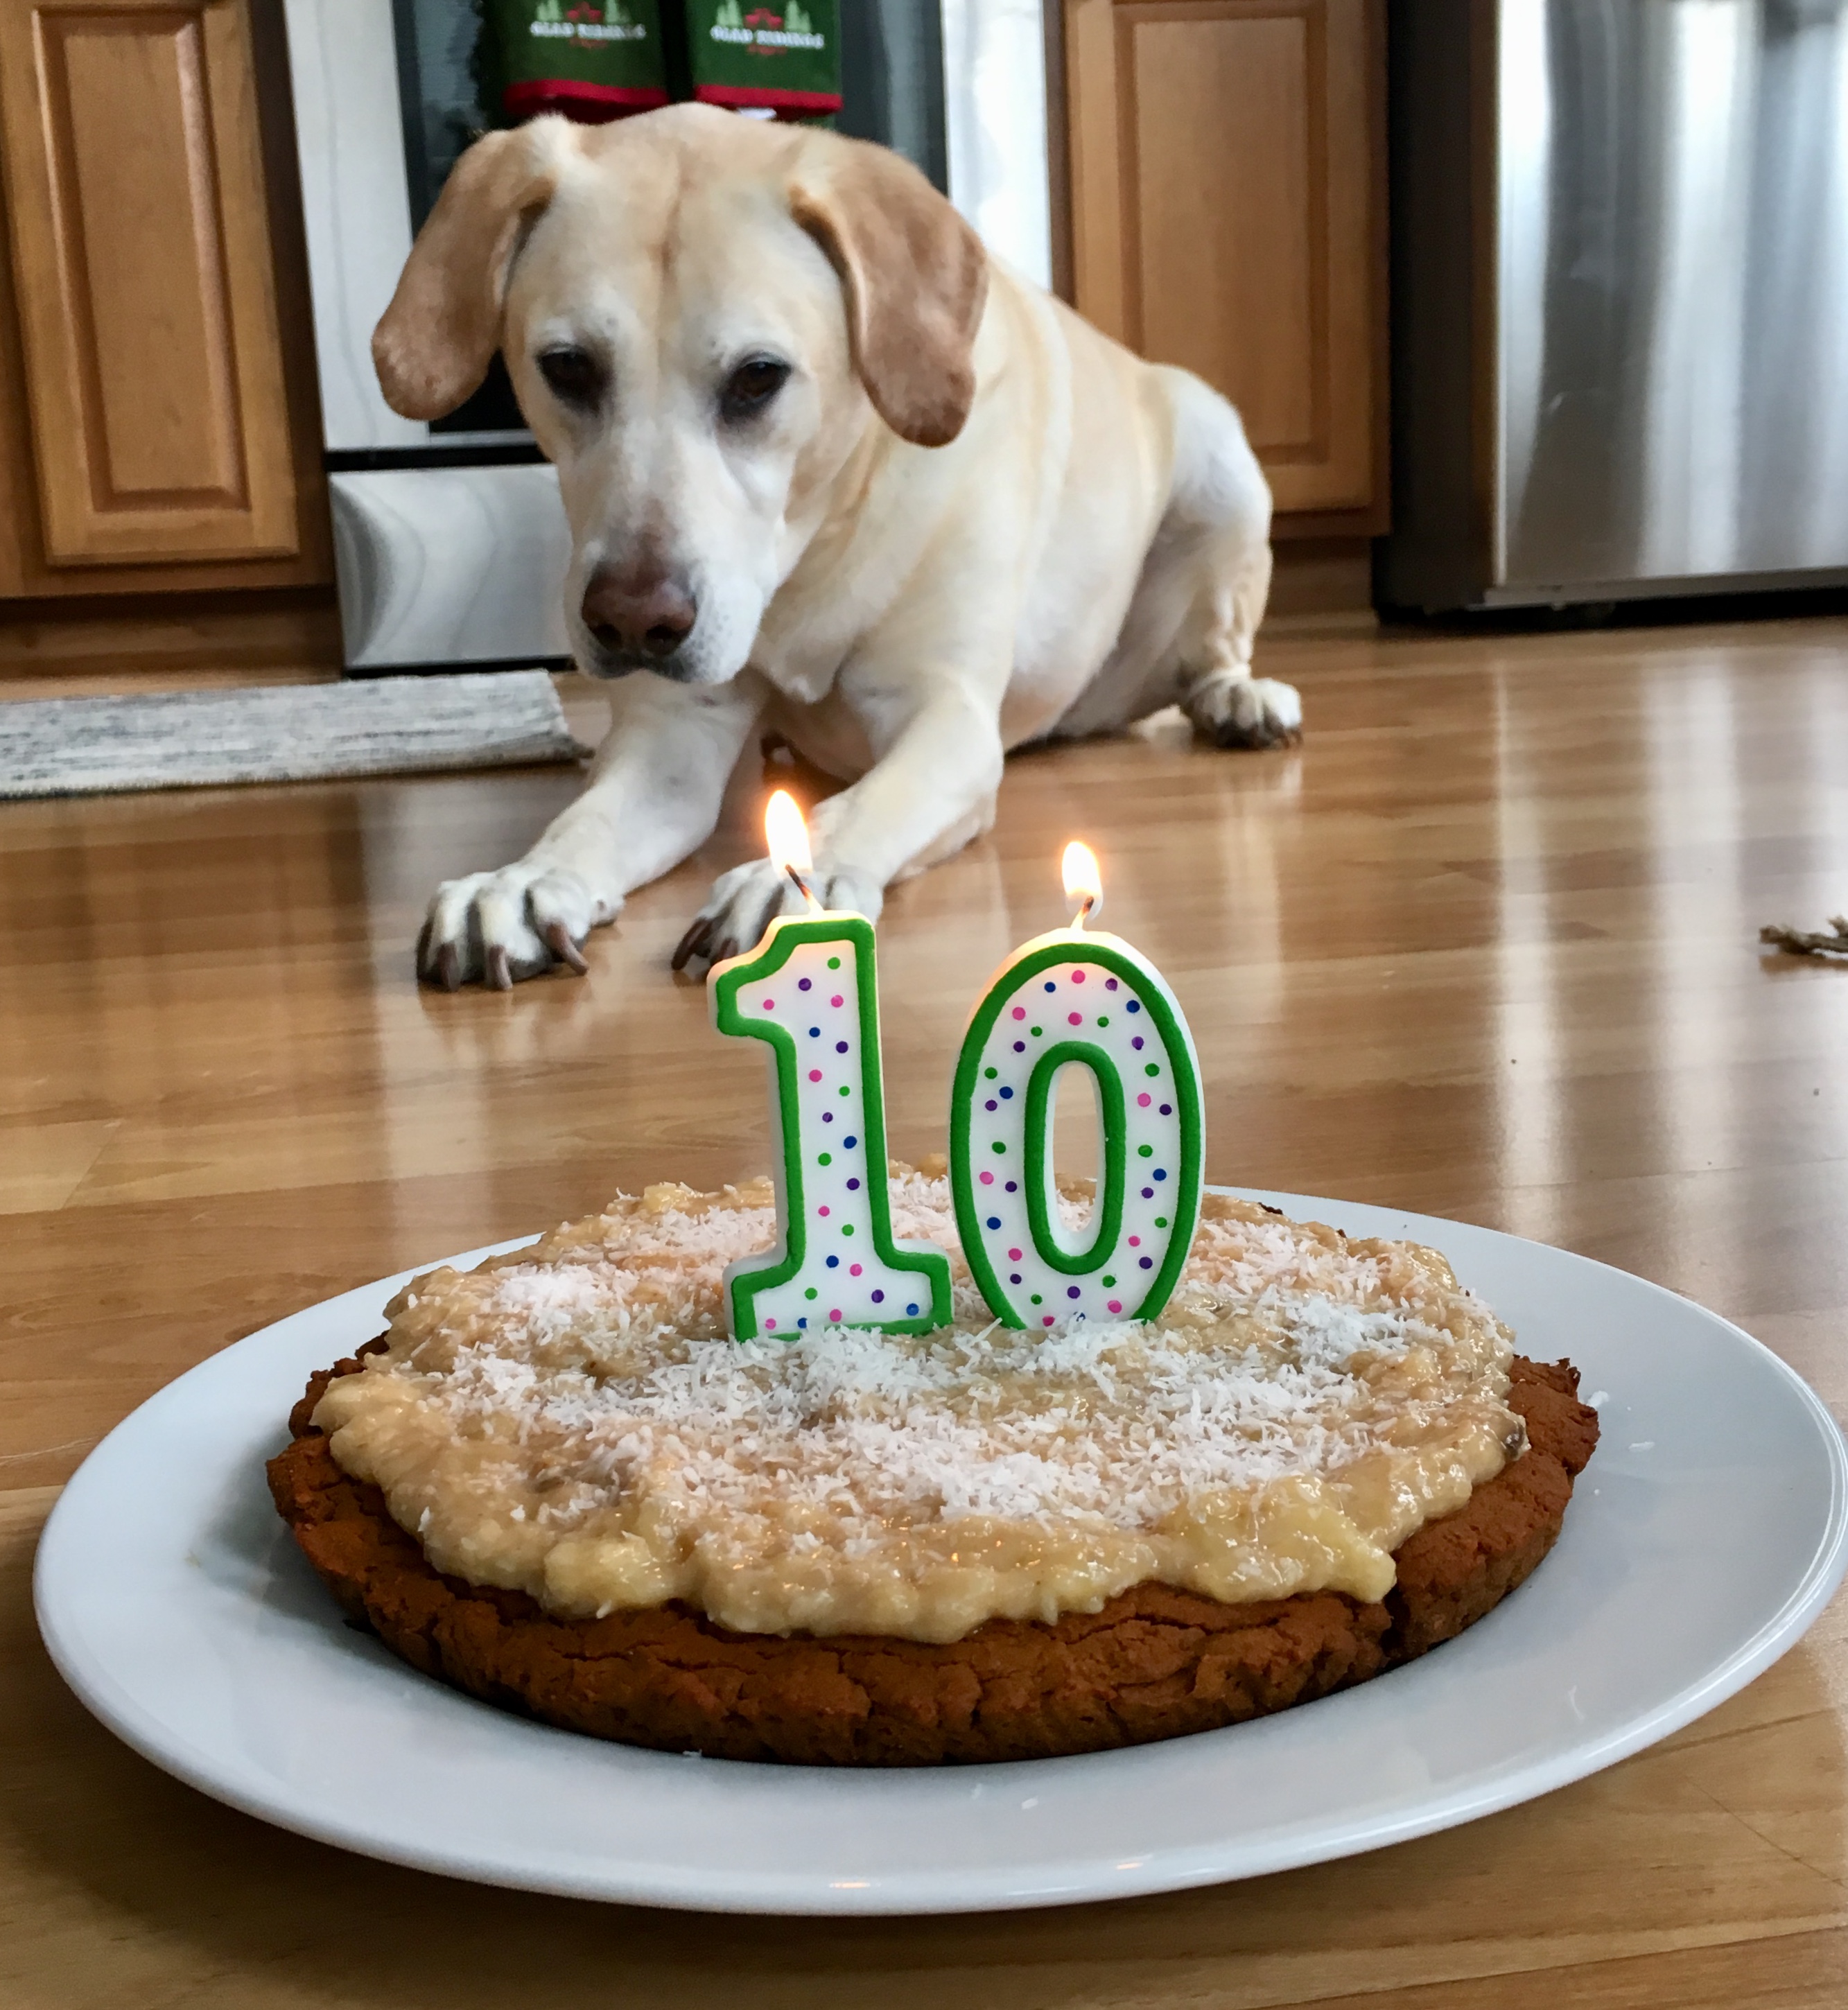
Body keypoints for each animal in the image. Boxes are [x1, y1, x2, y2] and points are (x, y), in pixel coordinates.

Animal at [382, 110, 1295, 988]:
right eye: (568, 367)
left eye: (757, 377)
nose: (634, 624)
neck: (809, 555)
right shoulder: (670, 743)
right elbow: (584, 820)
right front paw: (519, 880)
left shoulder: (946, 717)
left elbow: (863, 805)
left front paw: (790, 879)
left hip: (1219, 455)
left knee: (1212, 648)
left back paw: (1238, 699)